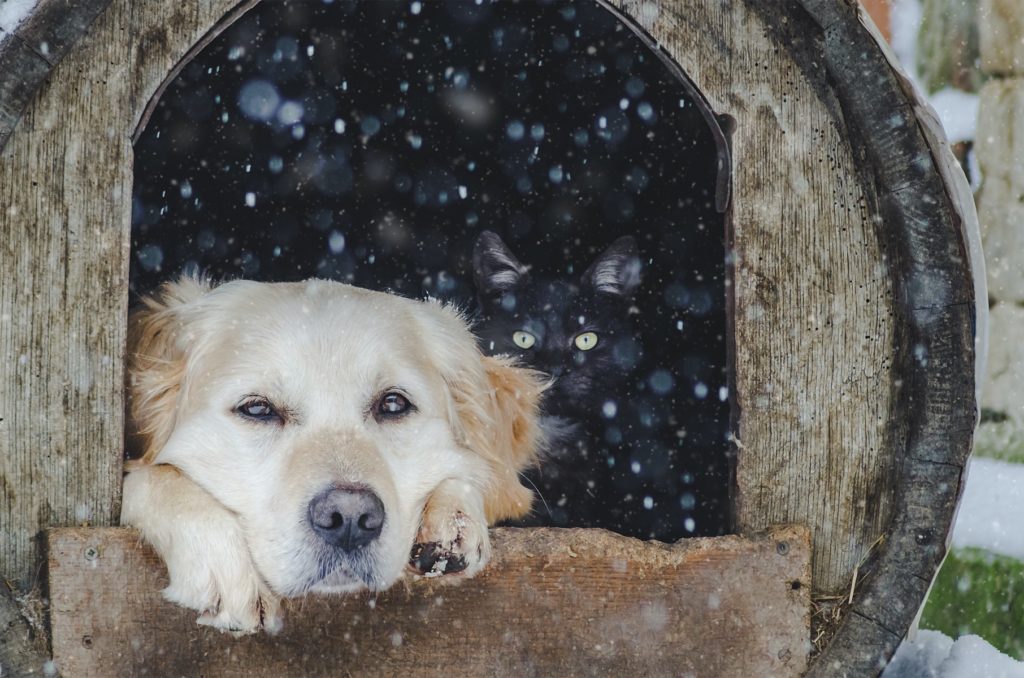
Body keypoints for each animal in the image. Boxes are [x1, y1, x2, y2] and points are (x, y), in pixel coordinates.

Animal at [119, 274, 544, 634]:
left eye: (393, 404)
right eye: (257, 409)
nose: (350, 518)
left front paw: (452, 515)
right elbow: (150, 477)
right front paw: (227, 566)